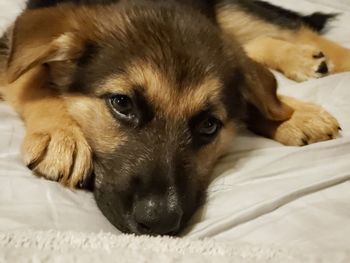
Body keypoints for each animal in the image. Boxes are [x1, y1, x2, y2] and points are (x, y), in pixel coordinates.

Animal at [0, 0, 346, 235]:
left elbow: (256, 94)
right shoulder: (9, 49)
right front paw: (62, 136)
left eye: (209, 125)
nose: (158, 222)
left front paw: (291, 113)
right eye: (122, 103)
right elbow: (31, 78)